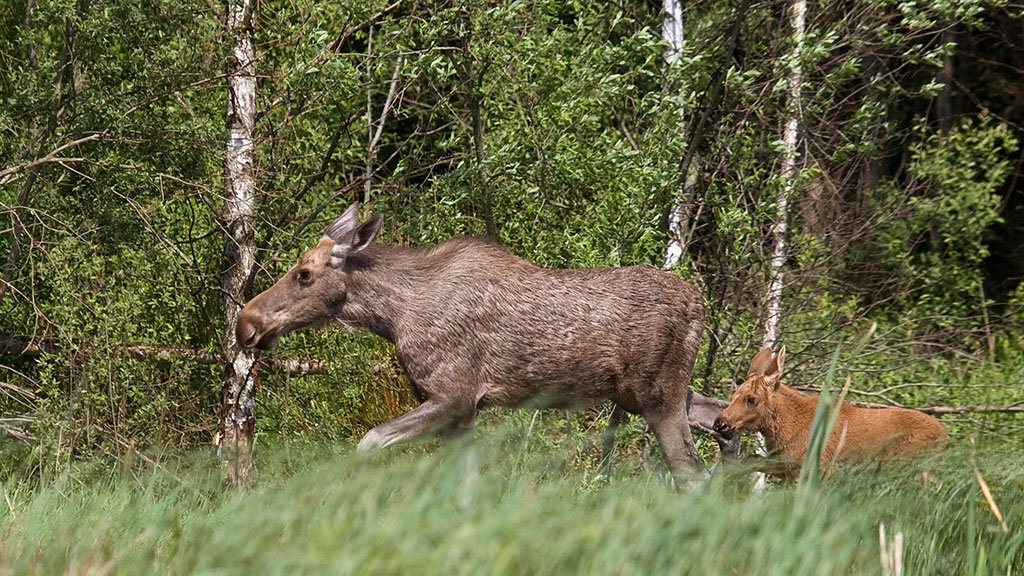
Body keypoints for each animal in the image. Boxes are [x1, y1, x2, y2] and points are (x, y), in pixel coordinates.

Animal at [237, 201, 729, 479]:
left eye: (304, 274)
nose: (246, 323)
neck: (392, 317)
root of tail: (701, 303)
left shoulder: (453, 395)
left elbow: (369, 442)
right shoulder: (462, 413)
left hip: (656, 396)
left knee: (693, 473)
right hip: (662, 393)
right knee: (722, 421)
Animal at [716, 344, 946, 479]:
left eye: (751, 399)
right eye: (733, 394)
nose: (720, 423)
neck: (783, 430)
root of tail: (946, 437)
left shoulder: (812, 469)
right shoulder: (784, 466)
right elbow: (748, 461)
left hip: (911, 467)